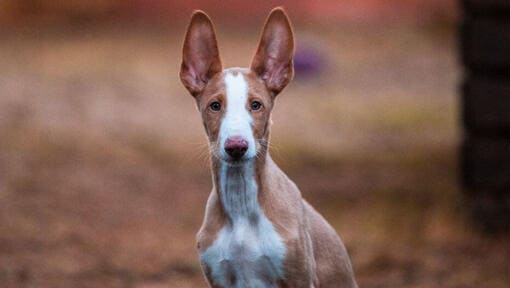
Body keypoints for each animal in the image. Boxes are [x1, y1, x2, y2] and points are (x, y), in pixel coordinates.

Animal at [179, 6, 358, 288]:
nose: (236, 147)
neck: (241, 200)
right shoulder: (219, 278)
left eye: (256, 105)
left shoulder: (299, 277)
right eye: (215, 106)